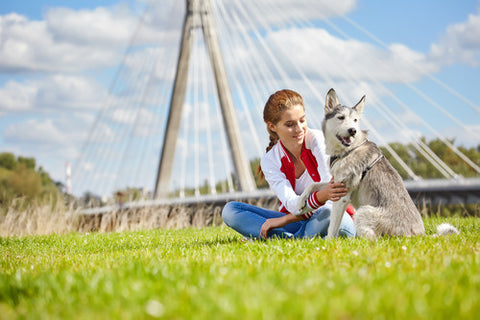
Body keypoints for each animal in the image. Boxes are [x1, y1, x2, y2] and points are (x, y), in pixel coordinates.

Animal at [320, 89, 460, 239]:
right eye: (341, 117)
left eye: (355, 120)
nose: (353, 130)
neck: (350, 149)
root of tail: (418, 235)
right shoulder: (336, 186)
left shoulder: (341, 196)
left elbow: (332, 227)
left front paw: (329, 241)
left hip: (363, 212)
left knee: (372, 238)